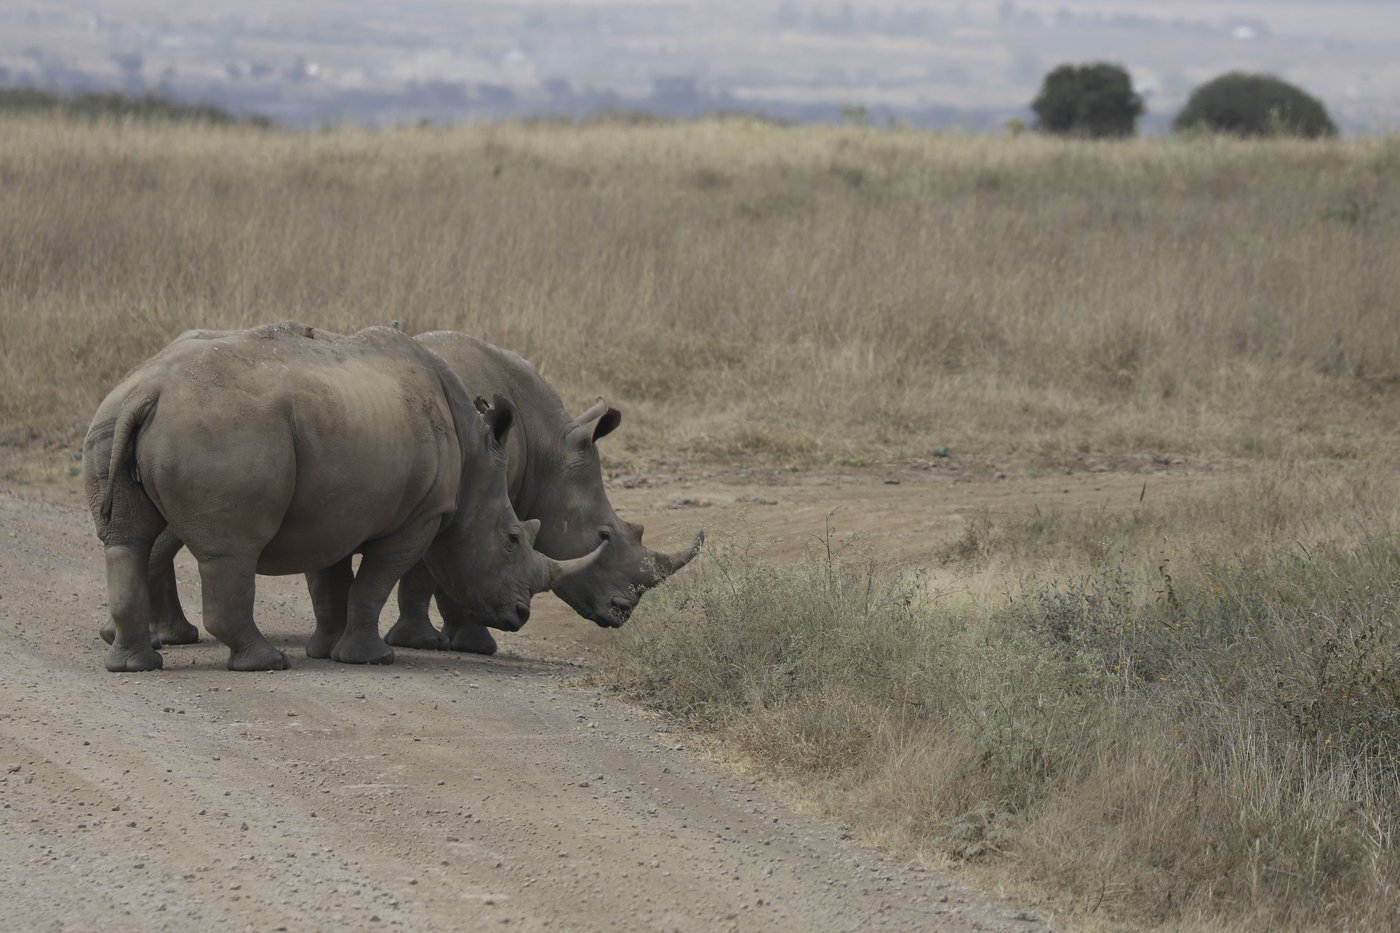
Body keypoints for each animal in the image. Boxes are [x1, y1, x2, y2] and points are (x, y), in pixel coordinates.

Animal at [133, 330, 703, 656]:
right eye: (604, 535)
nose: (621, 612)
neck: (546, 449)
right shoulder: (448, 502)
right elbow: (432, 575)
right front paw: (453, 643)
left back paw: (161, 638)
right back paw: (167, 638)